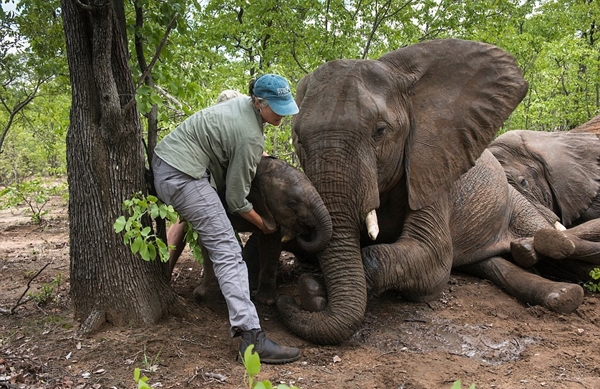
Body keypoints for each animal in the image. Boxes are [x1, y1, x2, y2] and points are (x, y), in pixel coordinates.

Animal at [276, 38, 584, 344]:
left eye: (380, 131)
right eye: (299, 140)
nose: (285, 302)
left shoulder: (433, 171)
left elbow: (433, 259)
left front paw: (314, 289)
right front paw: (313, 290)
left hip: (517, 203)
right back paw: (560, 291)